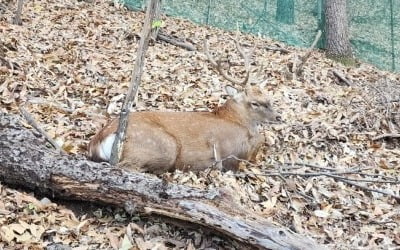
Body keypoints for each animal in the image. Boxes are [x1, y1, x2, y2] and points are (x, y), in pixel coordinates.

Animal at [88, 37, 280, 174]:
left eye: (269, 97)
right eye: (255, 103)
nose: (278, 117)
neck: (236, 121)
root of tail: (97, 140)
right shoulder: (232, 153)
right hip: (164, 146)